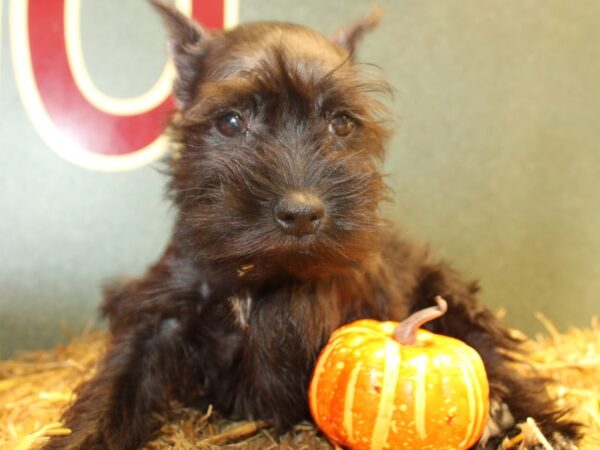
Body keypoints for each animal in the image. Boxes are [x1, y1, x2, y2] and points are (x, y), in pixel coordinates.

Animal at [43, 3, 580, 450]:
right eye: (230, 122)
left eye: (341, 123)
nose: (302, 213)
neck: (266, 277)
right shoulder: (158, 318)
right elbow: (114, 389)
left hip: (444, 285)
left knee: (489, 347)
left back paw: (531, 421)